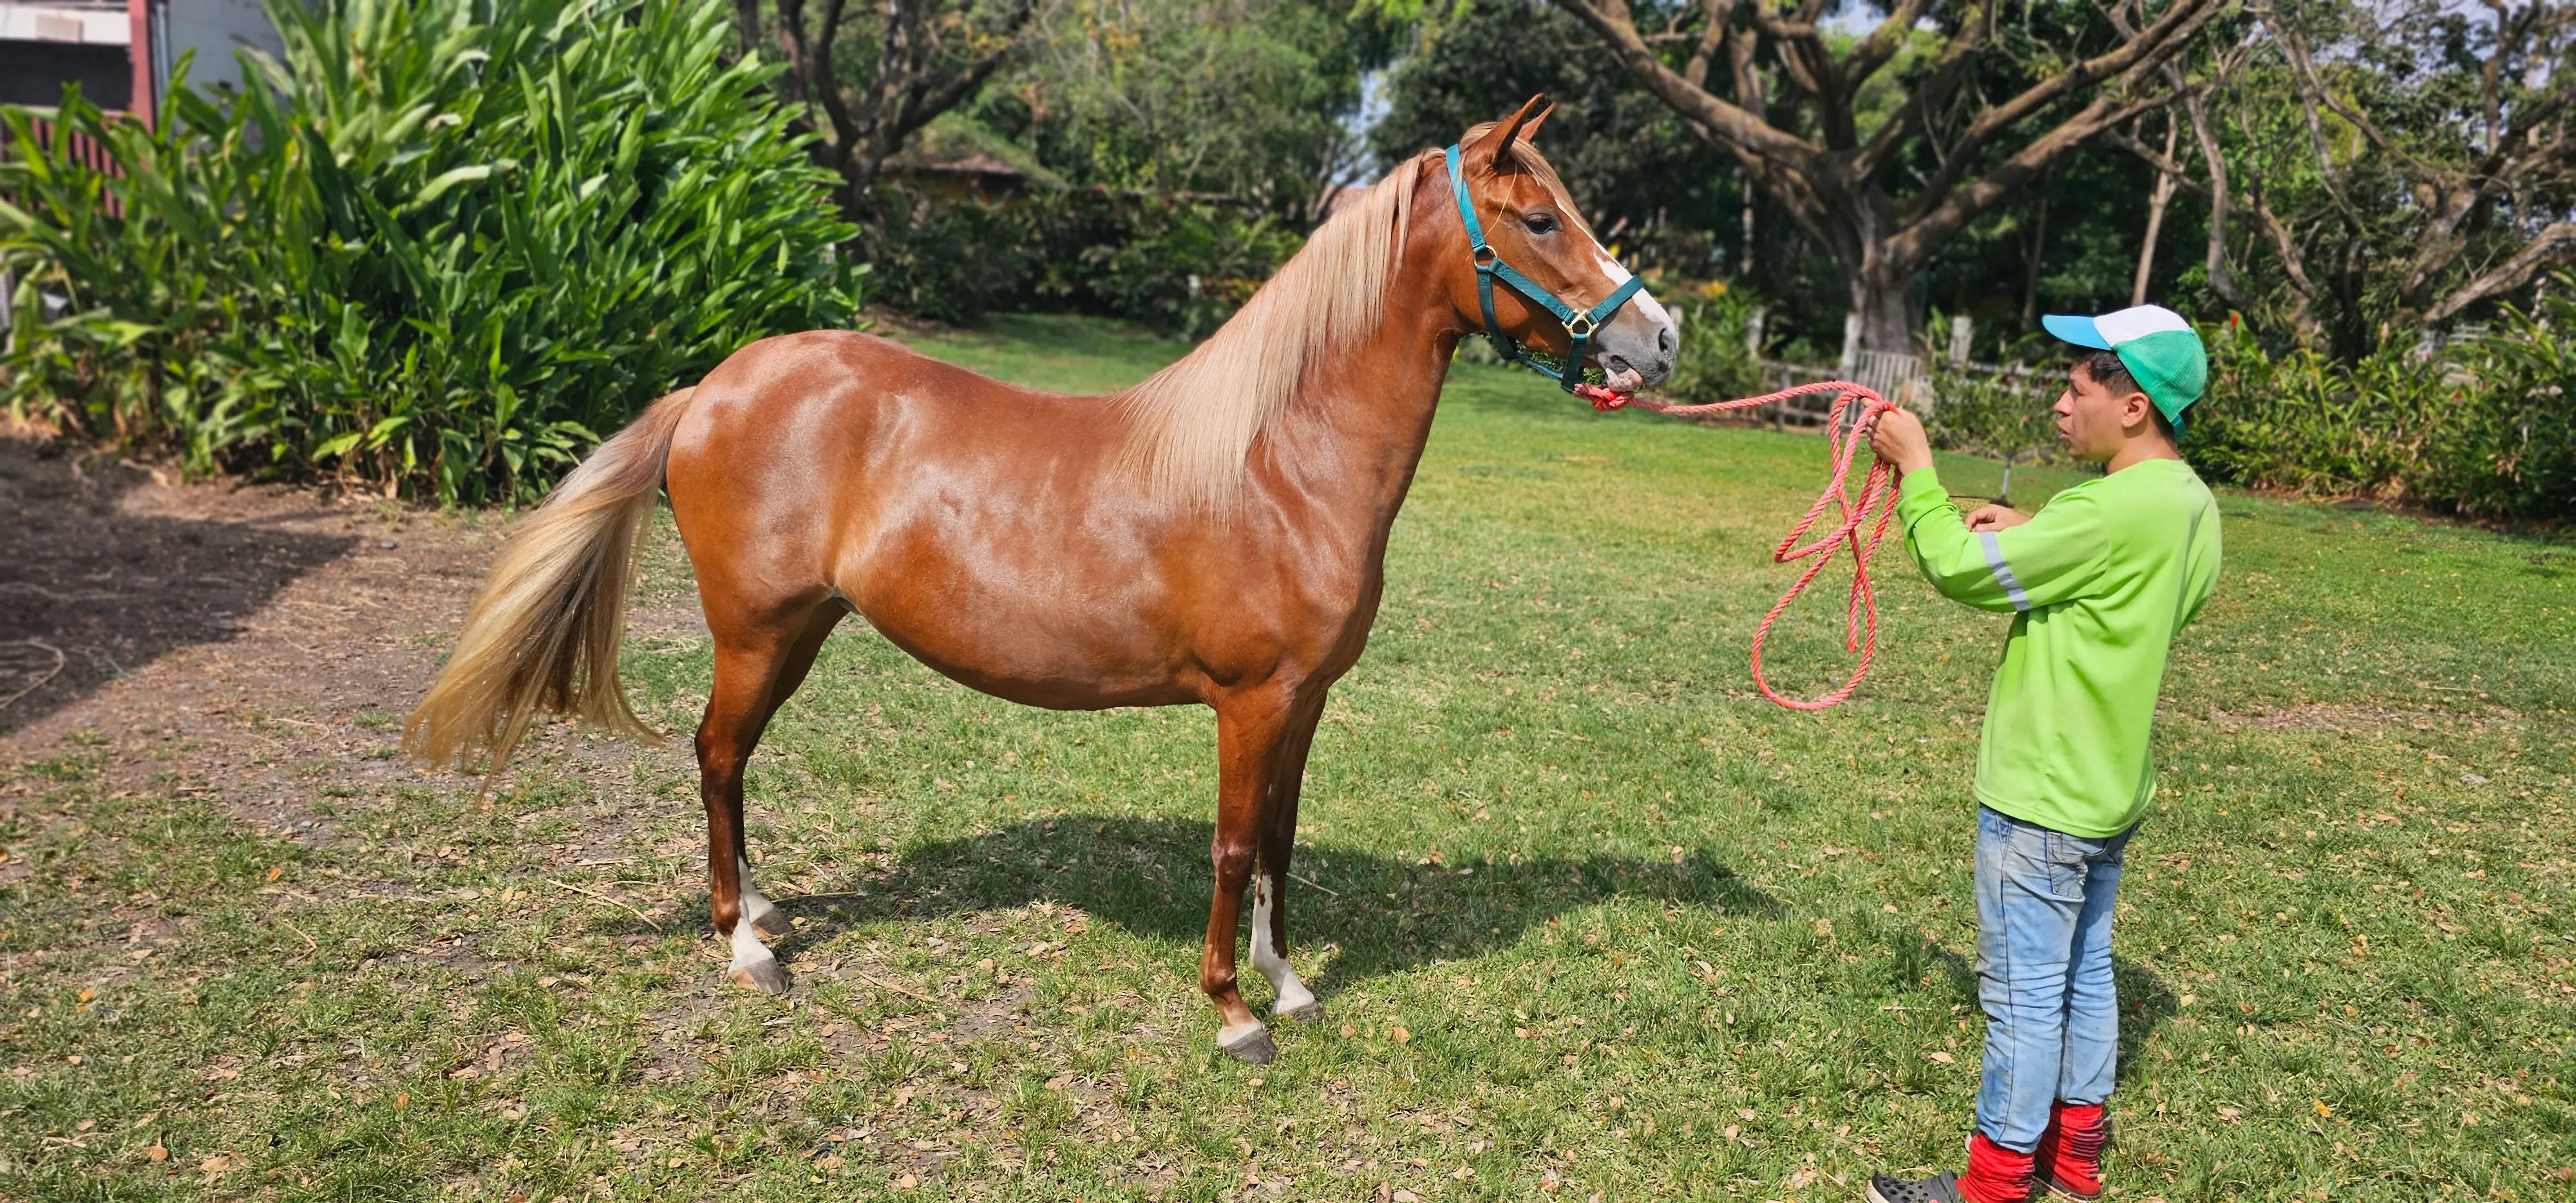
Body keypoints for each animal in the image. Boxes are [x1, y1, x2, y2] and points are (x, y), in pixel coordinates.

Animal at [404, 97, 1676, 1064]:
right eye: (1539, 219)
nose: (1658, 341)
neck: (1278, 460)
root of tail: (714, 384)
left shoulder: (1304, 702)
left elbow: (1280, 839)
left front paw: (1290, 983)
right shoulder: (1249, 703)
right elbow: (1230, 848)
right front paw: (1232, 1014)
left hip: (803, 631)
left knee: (733, 762)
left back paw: (762, 906)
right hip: (756, 634)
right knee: (716, 756)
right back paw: (745, 942)